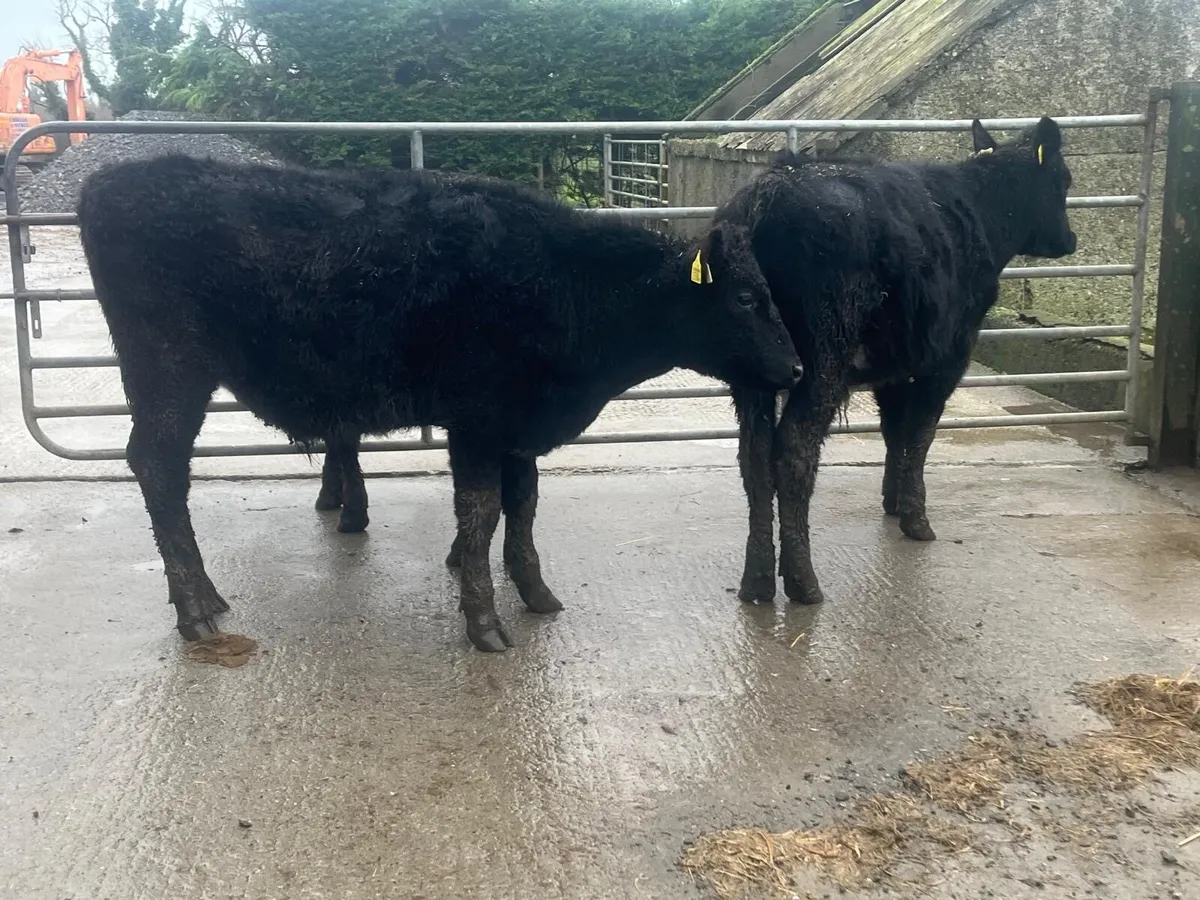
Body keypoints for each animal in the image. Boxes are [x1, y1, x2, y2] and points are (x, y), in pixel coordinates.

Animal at [78, 156, 804, 652]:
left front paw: (536, 594)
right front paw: (484, 623)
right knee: (159, 468)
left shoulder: (516, 424)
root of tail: (118, 177)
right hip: (170, 375)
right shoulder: (476, 421)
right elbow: (480, 515)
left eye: (769, 291)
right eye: (746, 297)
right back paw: (197, 607)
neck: (563, 283)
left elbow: (524, 506)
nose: (796, 367)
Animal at [714, 116, 1077, 608]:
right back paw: (804, 582)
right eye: (1063, 181)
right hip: (823, 358)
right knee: (793, 450)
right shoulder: (947, 357)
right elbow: (921, 434)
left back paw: (756, 583)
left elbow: (894, 431)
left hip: (754, 369)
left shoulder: (895, 365)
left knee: (753, 455)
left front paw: (892, 501)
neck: (979, 212)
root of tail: (766, 193)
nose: (1070, 239)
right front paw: (916, 519)